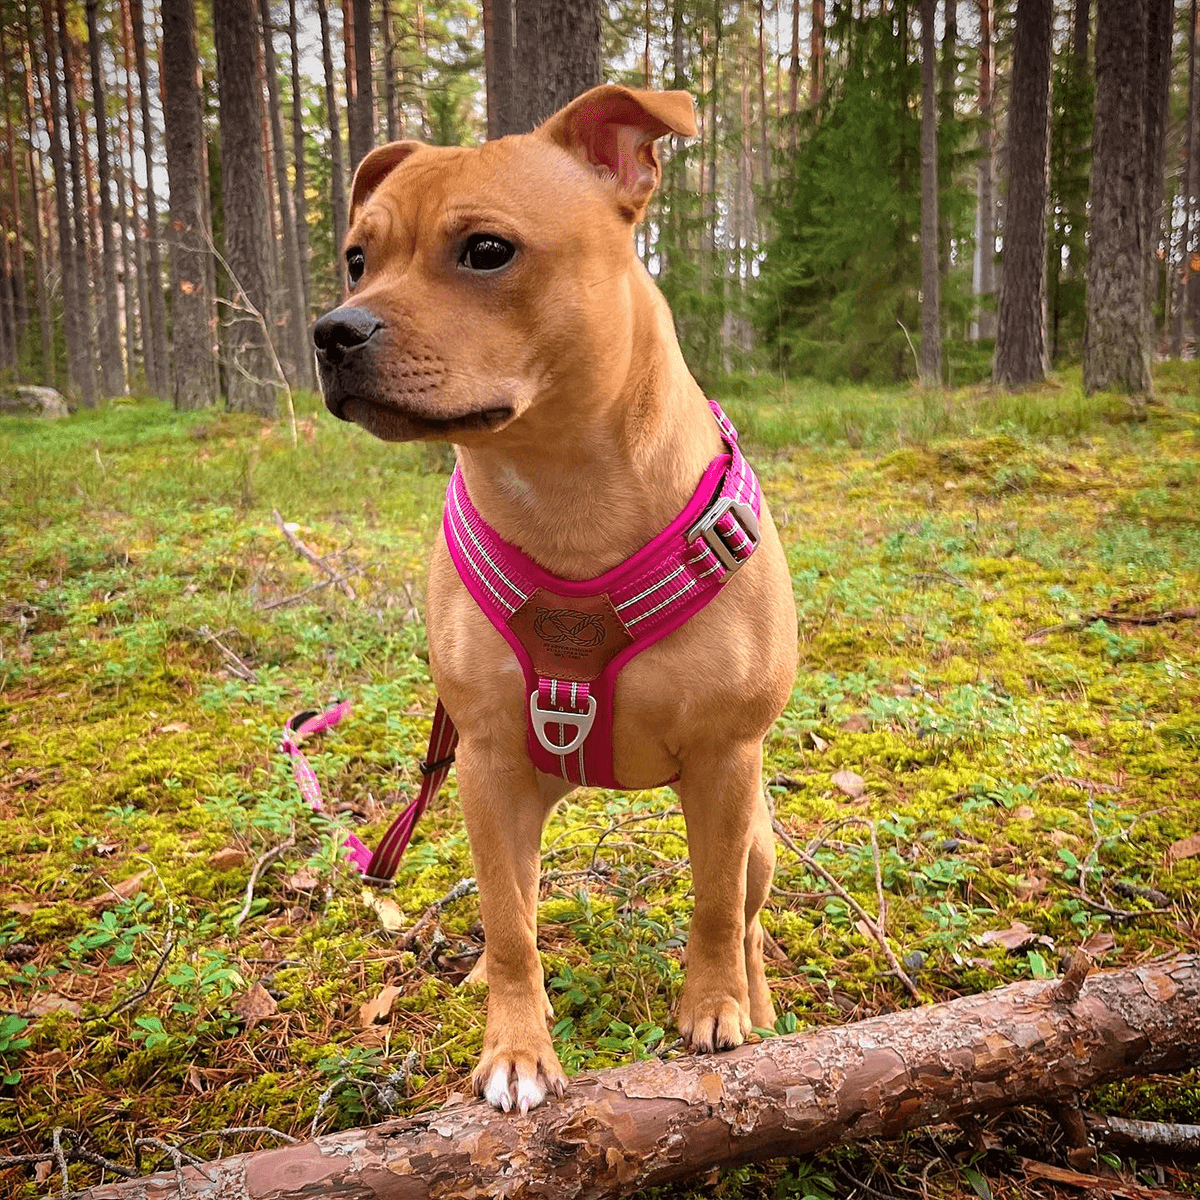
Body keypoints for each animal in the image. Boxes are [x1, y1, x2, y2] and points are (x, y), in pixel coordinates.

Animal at [314, 84, 796, 1113]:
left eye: (487, 250)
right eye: (357, 259)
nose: (334, 329)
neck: (562, 486)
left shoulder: (726, 759)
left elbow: (710, 904)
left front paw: (714, 1009)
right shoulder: (488, 765)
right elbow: (509, 927)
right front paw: (516, 1047)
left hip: (760, 831)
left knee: (746, 910)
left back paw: (755, 993)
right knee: (520, 907)